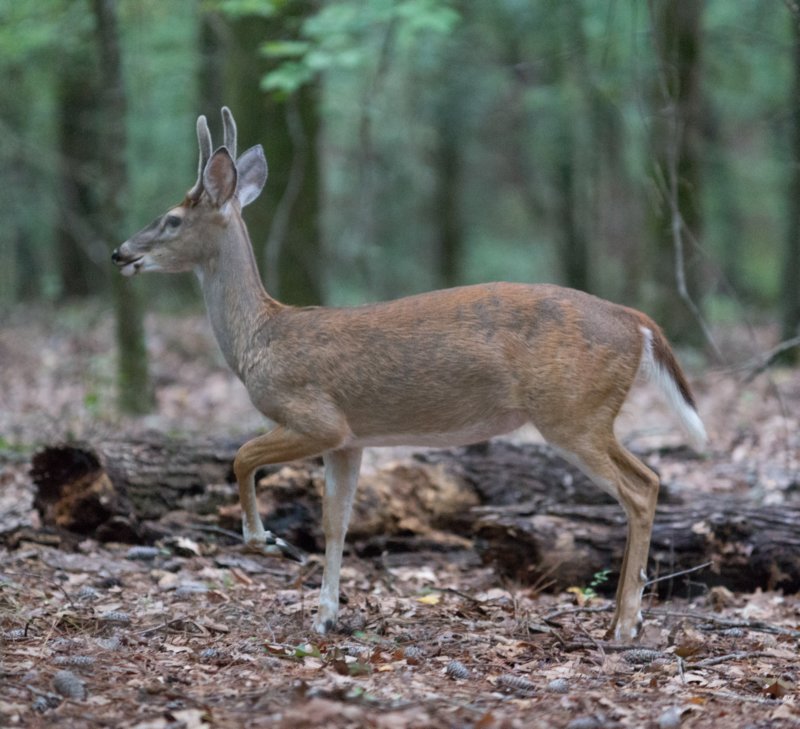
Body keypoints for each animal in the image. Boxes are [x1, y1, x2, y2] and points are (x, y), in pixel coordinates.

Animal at [112, 105, 708, 640]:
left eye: (171, 219)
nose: (119, 252)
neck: (261, 337)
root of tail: (636, 322)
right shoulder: (349, 440)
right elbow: (335, 519)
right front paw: (326, 616)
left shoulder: (314, 417)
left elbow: (240, 458)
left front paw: (267, 542)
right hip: (588, 413)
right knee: (652, 479)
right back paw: (620, 620)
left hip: (571, 413)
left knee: (639, 490)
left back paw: (625, 625)